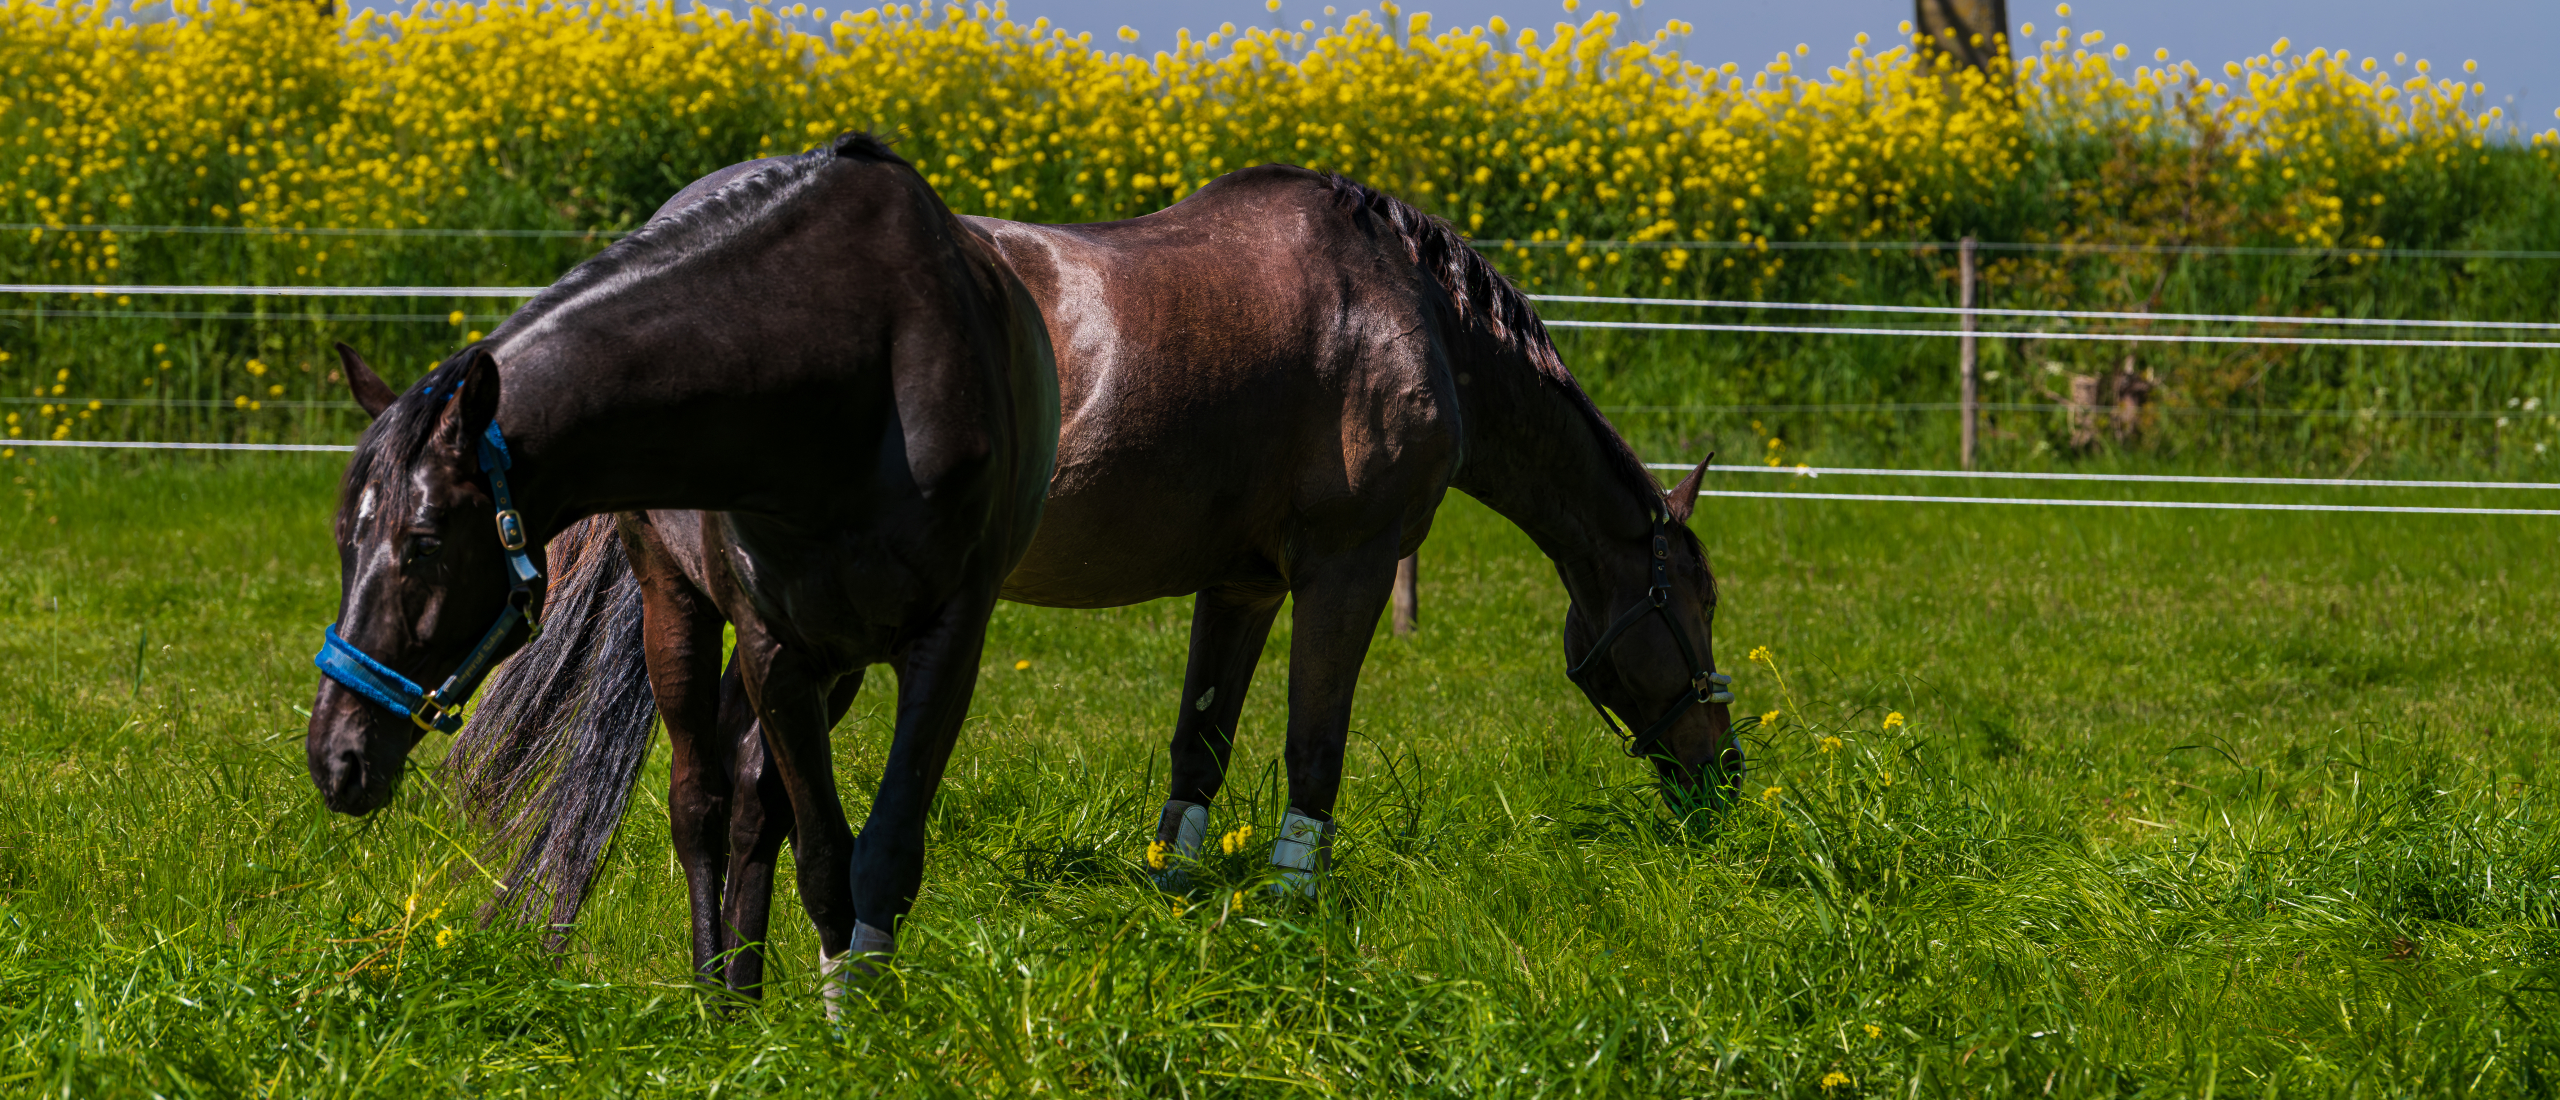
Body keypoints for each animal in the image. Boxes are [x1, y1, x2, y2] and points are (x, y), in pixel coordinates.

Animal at [301, 134, 1059, 1006]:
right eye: (344, 540)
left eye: (423, 541)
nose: (336, 758)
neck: (854, 360)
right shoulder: (777, 644)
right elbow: (821, 859)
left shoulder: (947, 638)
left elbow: (881, 855)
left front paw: (859, 1019)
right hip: (681, 609)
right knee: (701, 804)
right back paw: (719, 1002)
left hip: (845, 658)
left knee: (752, 800)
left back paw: (743, 992)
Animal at [453, 163, 1738, 997]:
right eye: (1696, 602)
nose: (1720, 773)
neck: (1398, 313)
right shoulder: (1346, 569)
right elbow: (1312, 750)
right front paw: (1292, 918)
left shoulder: (1241, 586)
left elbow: (1197, 751)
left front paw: (1178, 913)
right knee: (745, 781)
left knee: (738, 782)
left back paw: (741, 986)